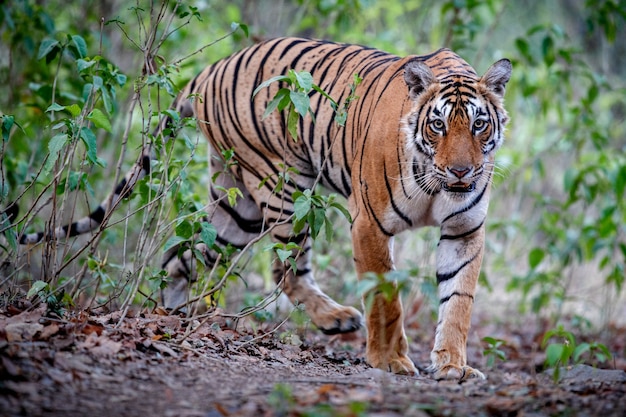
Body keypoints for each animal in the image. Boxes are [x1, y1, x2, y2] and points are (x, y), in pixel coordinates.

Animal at [17, 37, 510, 378]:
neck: (439, 186)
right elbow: (385, 298)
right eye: (438, 125)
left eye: (479, 125)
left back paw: (171, 319)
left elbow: (458, 301)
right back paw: (336, 318)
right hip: (282, 187)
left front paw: (452, 366)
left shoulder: (464, 230)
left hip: (237, 210)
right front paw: (389, 360)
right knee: (284, 269)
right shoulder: (369, 222)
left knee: (181, 257)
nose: (462, 172)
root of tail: (210, 70)